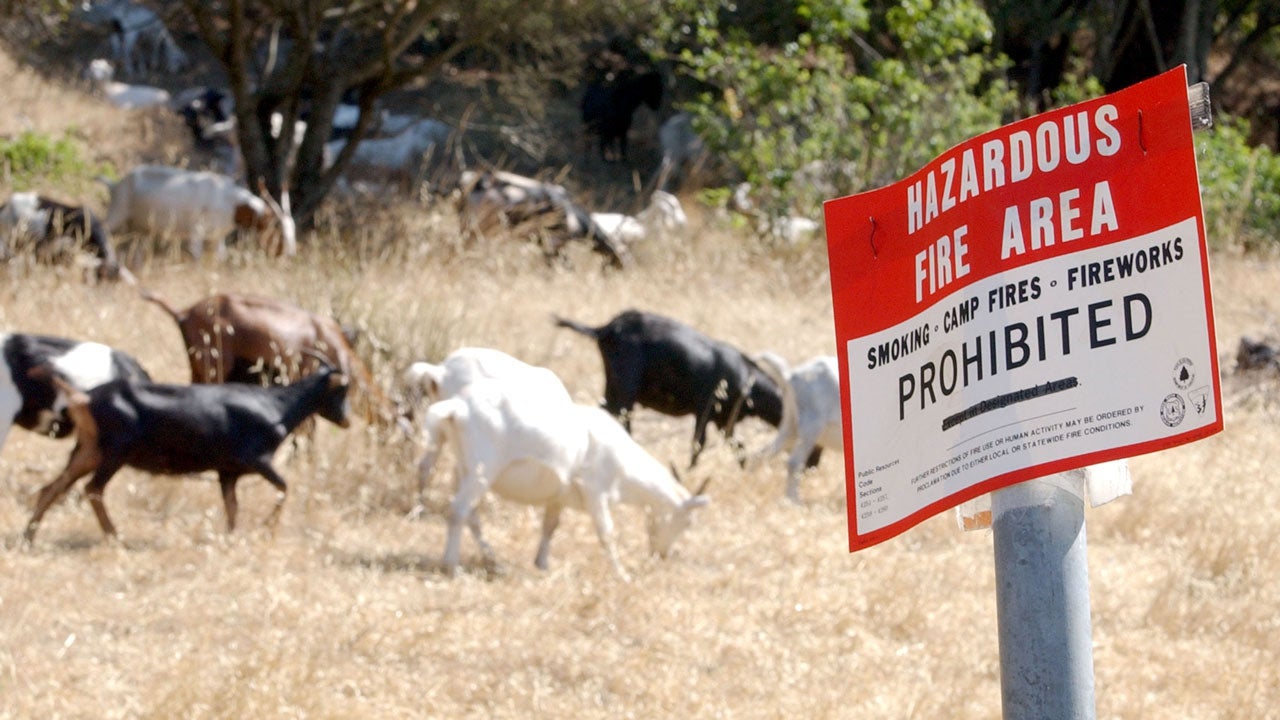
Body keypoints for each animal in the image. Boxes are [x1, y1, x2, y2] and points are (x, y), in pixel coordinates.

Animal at [22, 364, 350, 544]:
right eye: (341, 389)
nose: (346, 420)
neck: (277, 406)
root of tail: (84, 398)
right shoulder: (258, 460)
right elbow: (284, 487)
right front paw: (266, 529)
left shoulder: (227, 472)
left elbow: (232, 506)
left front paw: (231, 538)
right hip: (115, 453)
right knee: (92, 489)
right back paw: (115, 537)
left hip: (88, 450)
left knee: (52, 487)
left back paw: (28, 538)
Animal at [103, 165, 296, 260]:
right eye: (279, 231)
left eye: (293, 230)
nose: (290, 255)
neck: (229, 201)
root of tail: (116, 184)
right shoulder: (196, 232)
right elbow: (196, 257)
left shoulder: (217, 238)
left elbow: (220, 258)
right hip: (117, 213)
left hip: (142, 230)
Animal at [418, 375, 709, 581]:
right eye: (688, 522)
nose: (662, 555)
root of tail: (458, 406)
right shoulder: (596, 492)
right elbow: (607, 533)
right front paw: (622, 574)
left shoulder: (557, 497)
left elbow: (551, 526)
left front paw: (542, 564)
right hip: (482, 470)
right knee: (458, 510)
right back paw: (451, 565)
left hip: (464, 468)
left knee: (471, 514)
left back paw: (493, 561)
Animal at [555, 309, 783, 468]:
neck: (748, 379)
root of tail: (606, 329)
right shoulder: (705, 410)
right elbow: (698, 444)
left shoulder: (724, 421)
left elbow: (738, 446)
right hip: (626, 386)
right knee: (622, 421)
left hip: (612, 385)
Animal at [750, 353, 842, 502]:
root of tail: (790, 376)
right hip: (811, 427)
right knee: (793, 462)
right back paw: (794, 501)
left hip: (791, 427)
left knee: (761, 453)